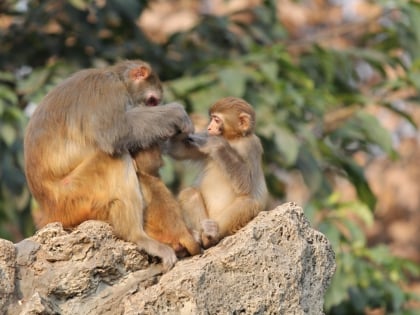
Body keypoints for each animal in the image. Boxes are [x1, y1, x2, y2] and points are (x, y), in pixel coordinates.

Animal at [24, 59, 192, 272]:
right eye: (153, 101)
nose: (156, 106)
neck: (118, 78)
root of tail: (48, 211)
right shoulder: (107, 89)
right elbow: (113, 132)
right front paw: (176, 114)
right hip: (73, 195)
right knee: (117, 157)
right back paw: (136, 235)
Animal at [166, 96, 268, 249]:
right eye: (212, 118)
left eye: (217, 119)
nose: (209, 127)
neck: (233, 139)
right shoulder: (202, 140)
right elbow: (178, 150)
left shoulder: (252, 145)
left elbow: (246, 184)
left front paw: (217, 144)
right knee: (189, 193)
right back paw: (204, 238)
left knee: (248, 202)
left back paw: (212, 235)